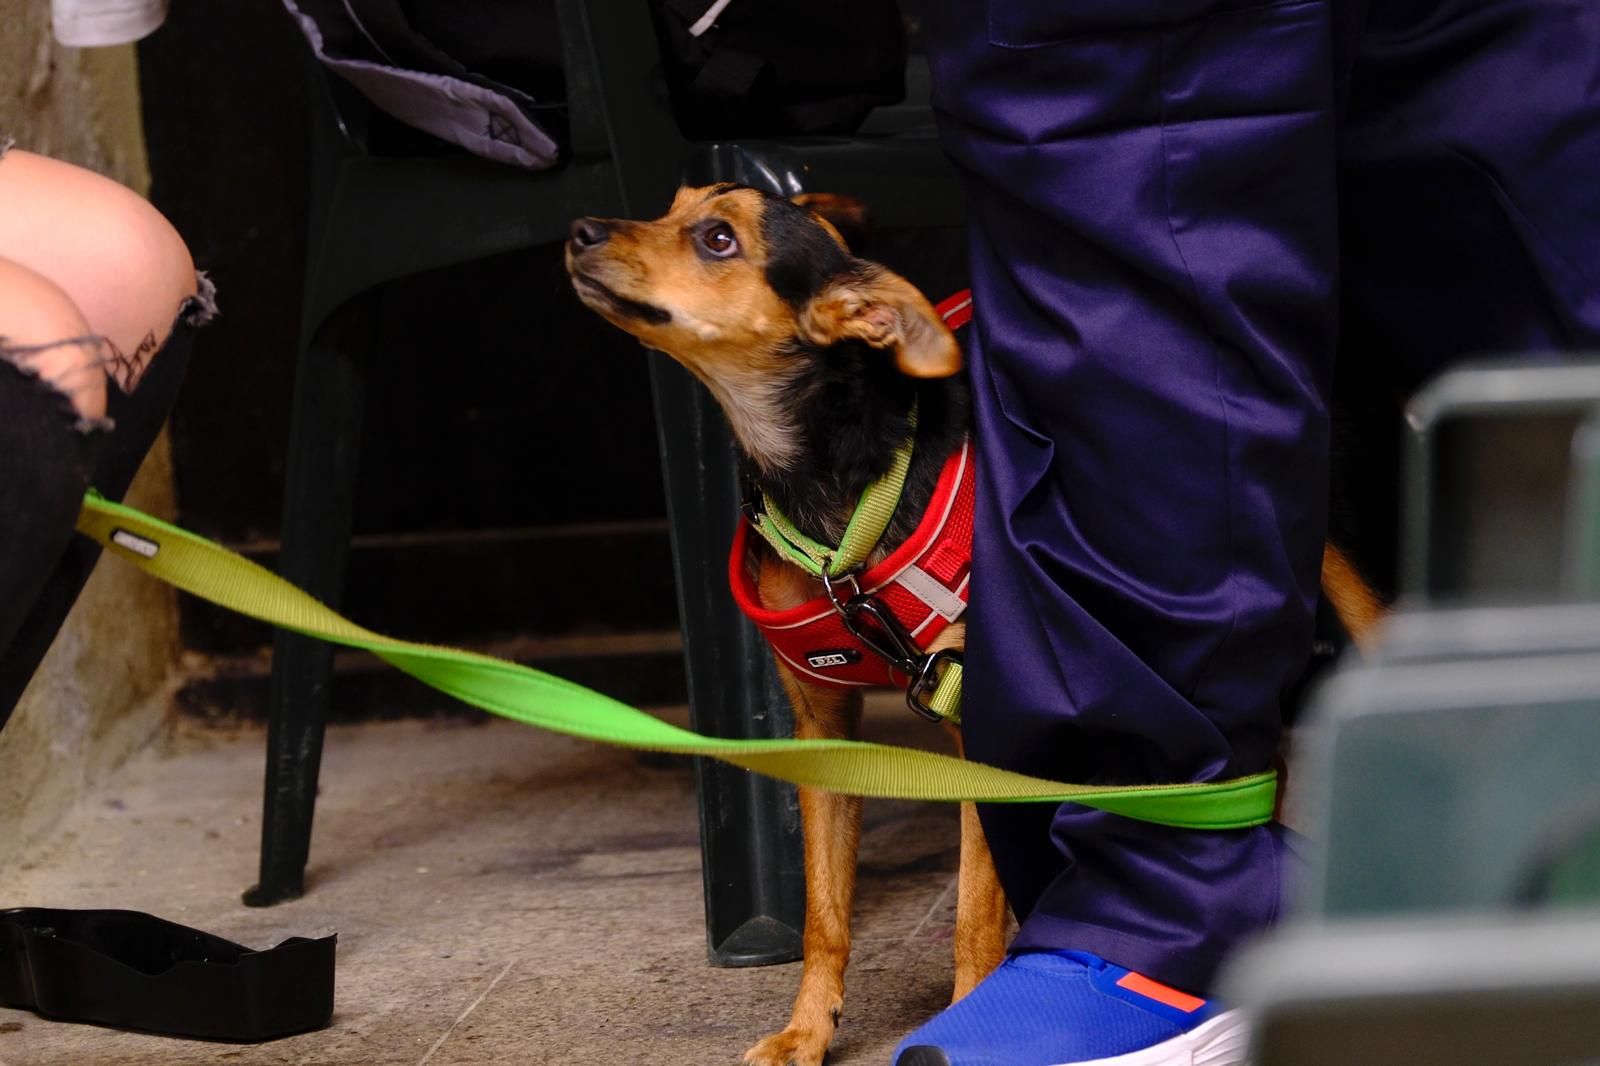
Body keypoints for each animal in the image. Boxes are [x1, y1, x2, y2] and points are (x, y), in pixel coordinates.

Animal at [566, 184, 1388, 1062]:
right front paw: (806, 1030)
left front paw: (970, 1003)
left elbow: (973, 913)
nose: (580, 232)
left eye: (718, 239)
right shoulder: (823, 724)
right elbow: (826, 910)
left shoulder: (977, 720)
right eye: (672, 204)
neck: (839, 490)